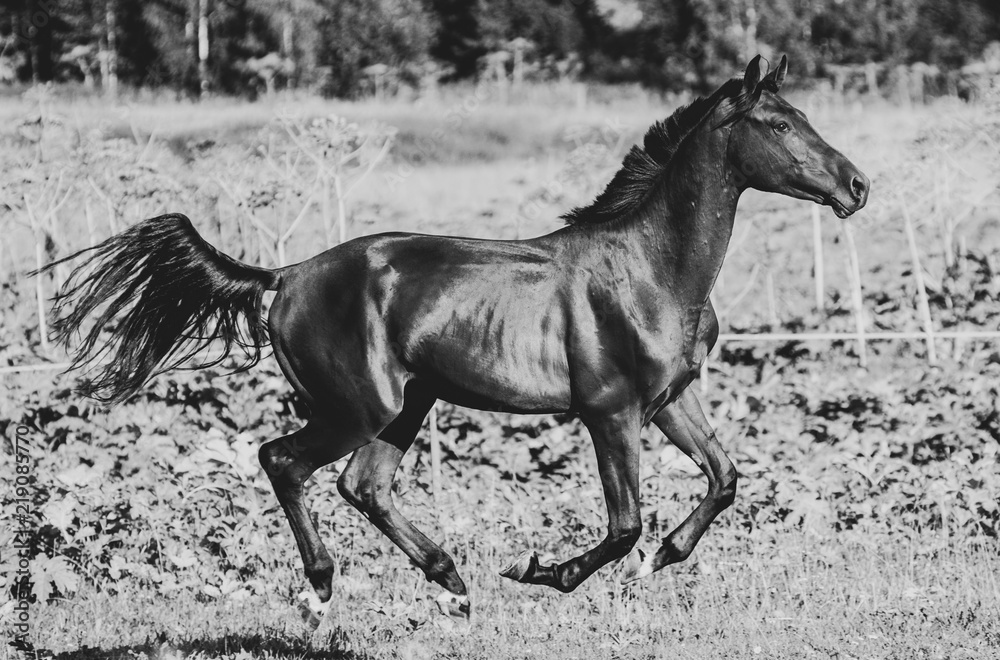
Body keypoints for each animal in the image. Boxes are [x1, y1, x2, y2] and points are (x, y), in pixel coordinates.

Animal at [39, 56, 868, 620]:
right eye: (779, 124)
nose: (857, 186)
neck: (648, 268)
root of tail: (286, 275)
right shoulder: (610, 413)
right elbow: (625, 523)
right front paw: (542, 572)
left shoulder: (672, 400)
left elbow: (724, 480)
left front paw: (666, 557)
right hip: (359, 407)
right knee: (283, 461)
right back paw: (323, 588)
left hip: (407, 406)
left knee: (362, 485)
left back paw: (451, 581)